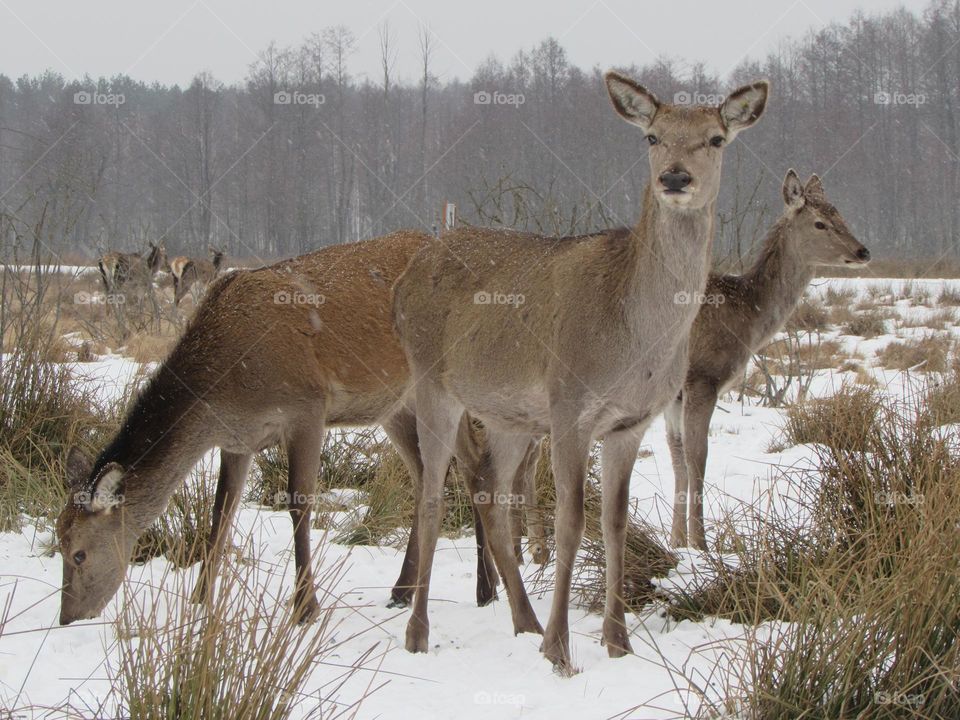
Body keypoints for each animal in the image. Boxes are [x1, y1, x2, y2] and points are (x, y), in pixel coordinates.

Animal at [57, 231, 512, 624]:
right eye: (57, 541)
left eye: (79, 553)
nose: (68, 617)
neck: (226, 384)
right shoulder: (237, 439)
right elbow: (221, 513)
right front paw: (199, 602)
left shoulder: (307, 407)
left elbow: (298, 503)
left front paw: (305, 608)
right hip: (393, 406)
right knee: (424, 473)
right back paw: (404, 590)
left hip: (443, 380)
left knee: (470, 461)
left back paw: (485, 588)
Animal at [386, 70, 768, 672]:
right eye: (652, 136)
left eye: (715, 139)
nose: (674, 177)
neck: (634, 342)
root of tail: (403, 282)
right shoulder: (569, 405)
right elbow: (572, 523)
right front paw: (560, 650)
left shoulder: (631, 422)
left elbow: (614, 524)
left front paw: (617, 642)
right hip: (431, 382)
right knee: (429, 495)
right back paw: (419, 632)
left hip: (509, 416)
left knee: (490, 491)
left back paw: (522, 620)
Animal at [668, 170, 872, 552]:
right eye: (820, 223)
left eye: (839, 214)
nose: (862, 251)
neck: (745, 317)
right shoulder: (702, 376)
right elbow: (697, 457)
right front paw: (701, 546)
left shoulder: (674, 395)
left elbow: (678, 460)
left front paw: (677, 542)